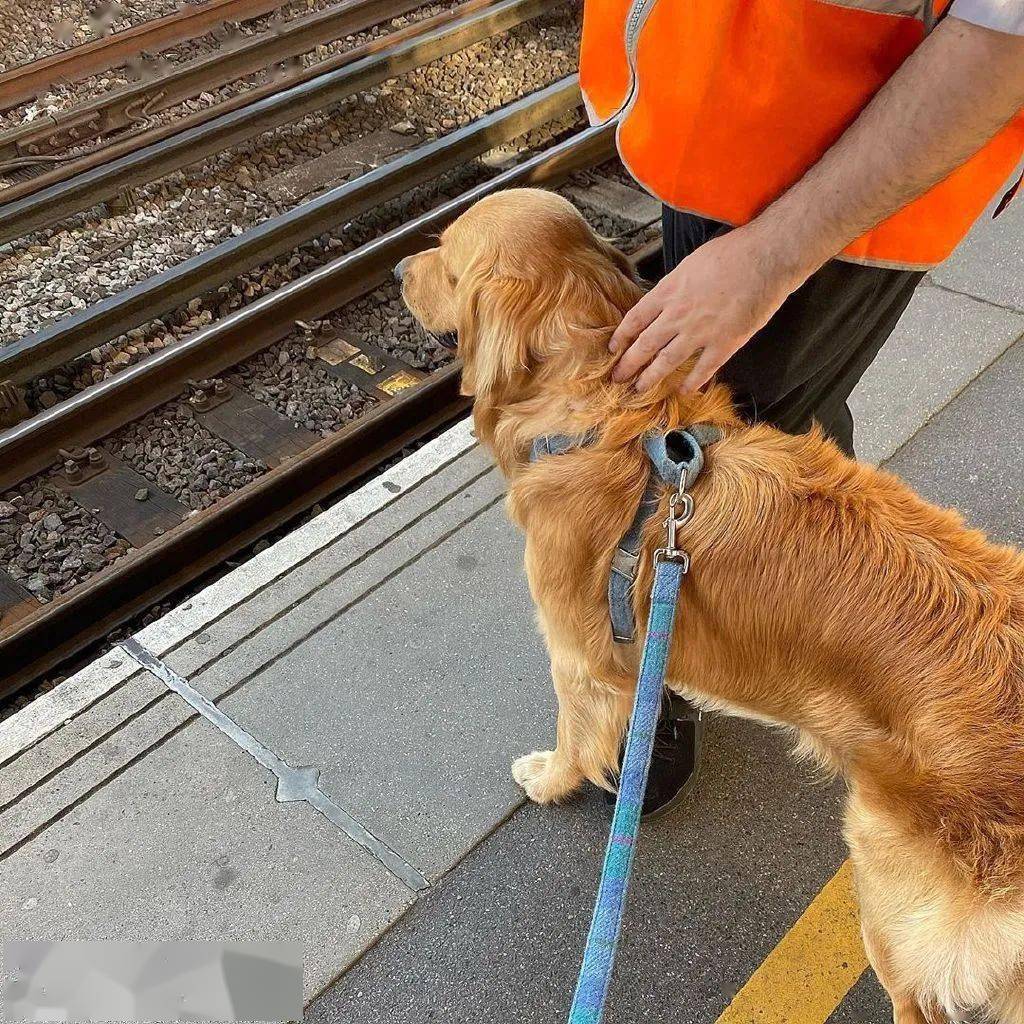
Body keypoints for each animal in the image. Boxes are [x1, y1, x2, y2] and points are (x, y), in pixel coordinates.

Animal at [395, 188, 1024, 1019]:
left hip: (890, 881)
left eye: (446, 255)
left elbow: (574, 736)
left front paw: (550, 778)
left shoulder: (575, 655)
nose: (397, 268)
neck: (602, 411)